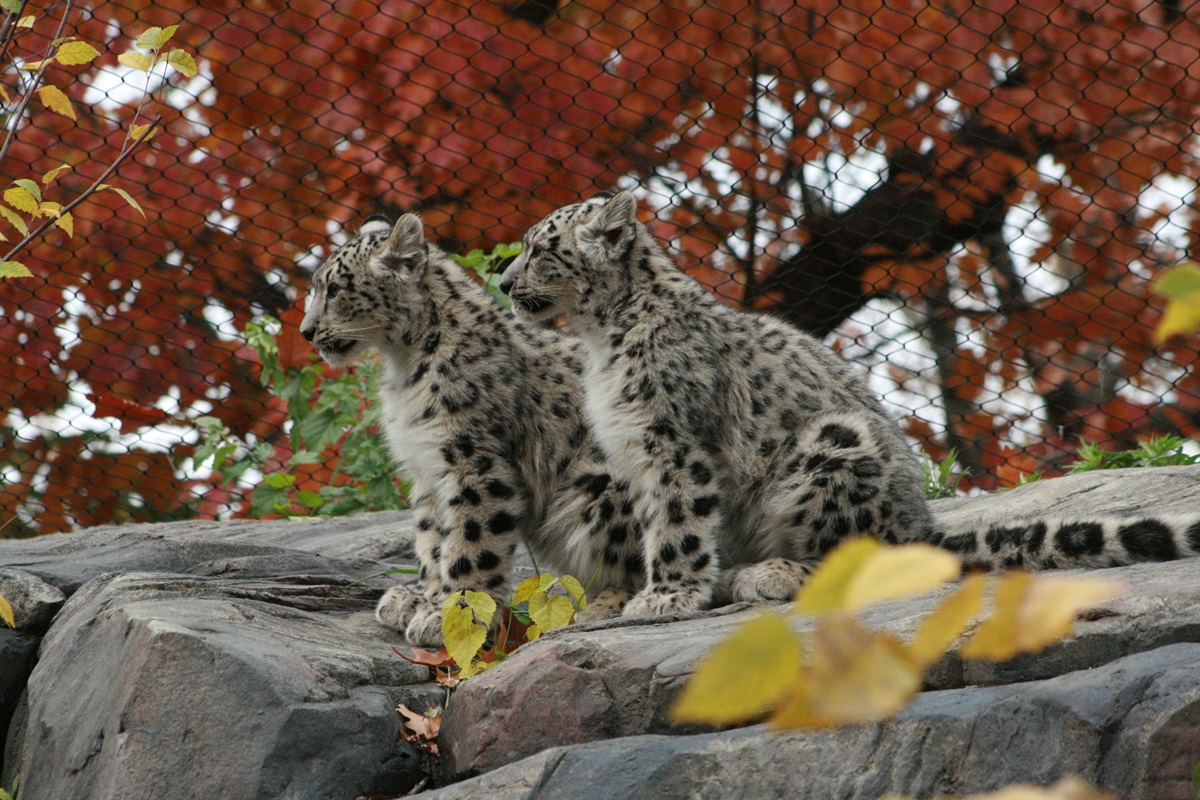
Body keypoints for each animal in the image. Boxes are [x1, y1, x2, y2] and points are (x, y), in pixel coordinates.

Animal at [300, 213, 644, 644]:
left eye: (335, 288)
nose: (306, 331)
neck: (404, 367)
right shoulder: (427, 468)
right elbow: (432, 540)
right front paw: (420, 600)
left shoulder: (474, 462)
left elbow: (469, 541)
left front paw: (451, 615)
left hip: (602, 486)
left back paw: (605, 607)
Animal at [498, 189, 1200, 617]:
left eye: (540, 249)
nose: (503, 282)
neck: (600, 341)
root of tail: (920, 524)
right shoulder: (633, 454)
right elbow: (651, 526)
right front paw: (645, 591)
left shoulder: (675, 441)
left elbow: (678, 524)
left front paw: (665, 597)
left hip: (835, 444)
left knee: (862, 559)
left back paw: (769, 574)